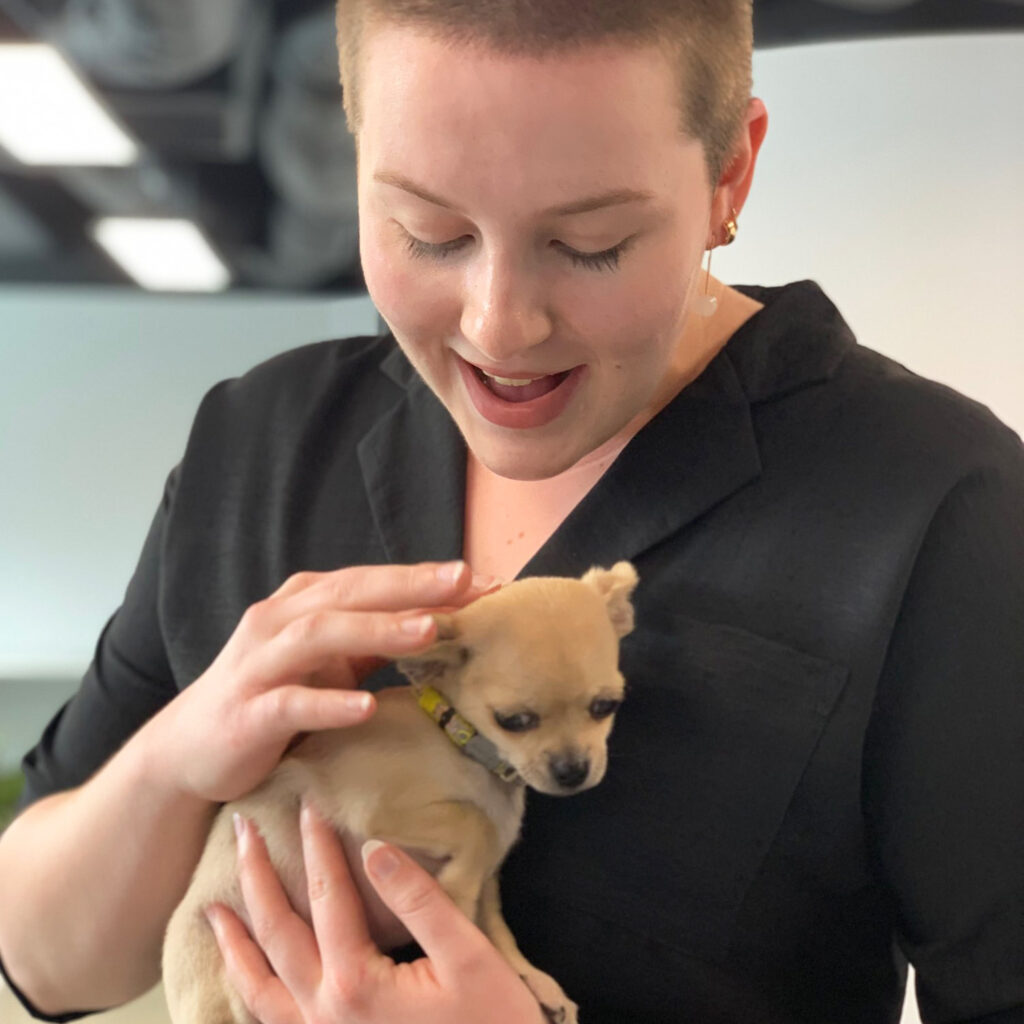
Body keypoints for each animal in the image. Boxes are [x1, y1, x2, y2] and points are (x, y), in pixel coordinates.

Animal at [162, 561, 638, 1024]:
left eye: (606, 707)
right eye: (514, 721)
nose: (573, 771)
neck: (459, 743)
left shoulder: (488, 888)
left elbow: (497, 936)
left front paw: (534, 982)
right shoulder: (377, 812)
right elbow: (475, 822)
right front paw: (456, 886)